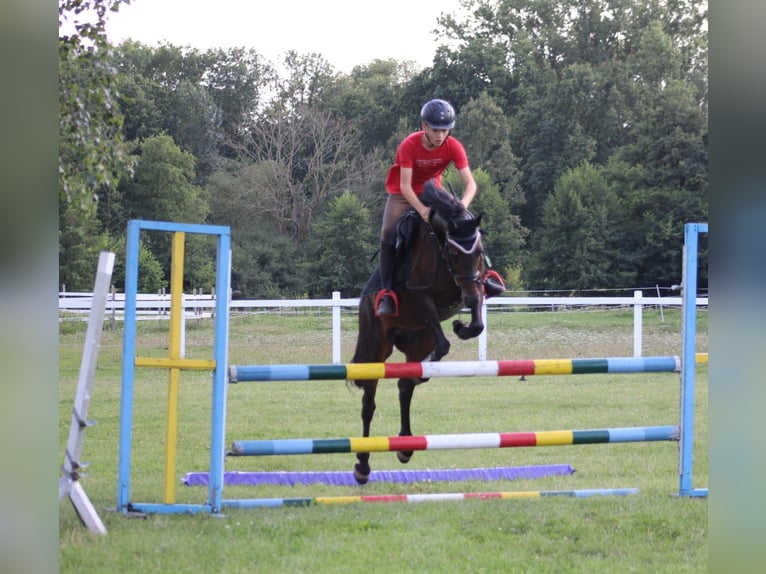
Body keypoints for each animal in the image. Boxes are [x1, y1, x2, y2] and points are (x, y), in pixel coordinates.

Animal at [352, 181, 496, 486]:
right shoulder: (422, 298)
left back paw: (405, 446)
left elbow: (476, 322)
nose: (467, 292)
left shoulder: (473, 287)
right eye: (455, 254)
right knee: (368, 402)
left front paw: (462, 327)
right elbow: (444, 344)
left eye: (479, 252)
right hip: (377, 346)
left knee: (404, 387)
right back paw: (362, 465)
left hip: (418, 339)